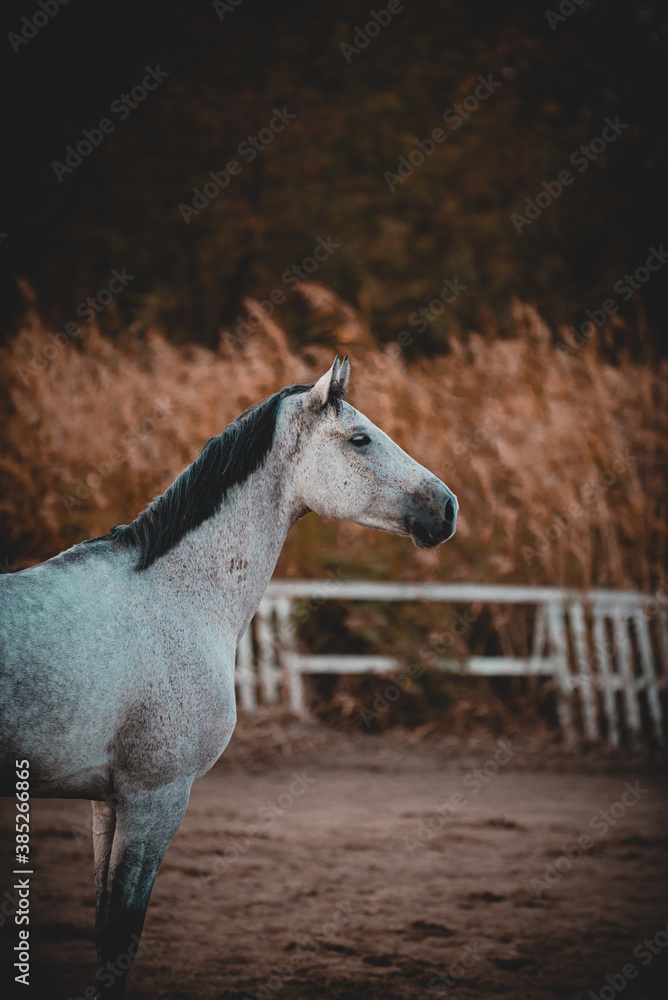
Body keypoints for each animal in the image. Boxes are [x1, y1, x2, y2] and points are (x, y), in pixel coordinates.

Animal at [0, 356, 458, 998]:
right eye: (360, 438)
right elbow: (119, 939)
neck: (172, 596)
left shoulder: (106, 801)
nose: (448, 507)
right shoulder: (156, 796)